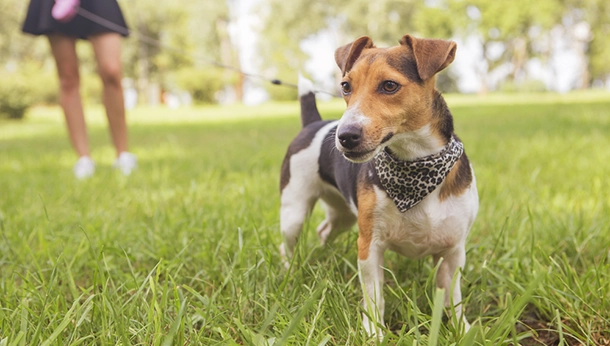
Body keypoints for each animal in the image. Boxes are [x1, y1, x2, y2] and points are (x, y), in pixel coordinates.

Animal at [278, 35, 478, 336]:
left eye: (389, 85)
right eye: (345, 86)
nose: (344, 136)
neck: (416, 166)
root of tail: (315, 123)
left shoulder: (453, 252)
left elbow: (453, 298)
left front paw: (461, 330)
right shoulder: (369, 246)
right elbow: (374, 297)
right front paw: (374, 333)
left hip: (343, 215)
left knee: (324, 230)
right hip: (294, 213)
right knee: (287, 245)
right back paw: (289, 272)